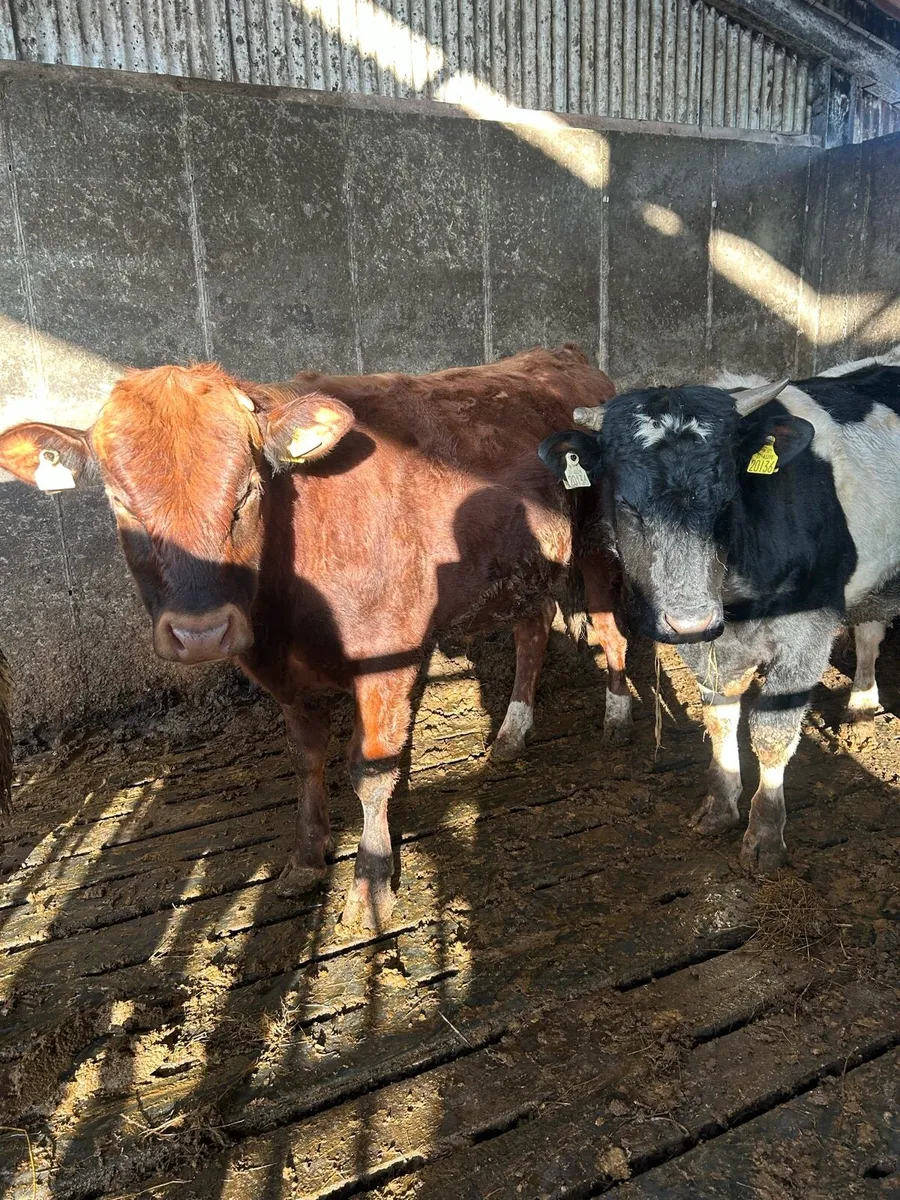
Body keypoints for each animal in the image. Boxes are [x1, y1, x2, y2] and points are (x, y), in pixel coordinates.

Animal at [0, 346, 629, 929]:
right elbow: (307, 759)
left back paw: (618, 719)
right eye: (119, 501)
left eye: (248, 490)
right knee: (532, 631)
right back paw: (513, 731)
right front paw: (306, 859)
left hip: (598, 544)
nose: (201, 633)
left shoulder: (387, 656)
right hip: (526, 563)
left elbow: (370, 770)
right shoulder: (281, 674)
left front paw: (371, 887)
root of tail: (565, 356)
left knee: (609, 629)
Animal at [538, 350, 900, 874]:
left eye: (728, 498)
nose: (691, 620)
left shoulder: (808, 632)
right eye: (626, 504)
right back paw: (862, 704)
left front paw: (764, 836)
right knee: (871, 629)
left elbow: (771, 733)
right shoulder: (704, 644)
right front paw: (719, 807)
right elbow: (720, 717)